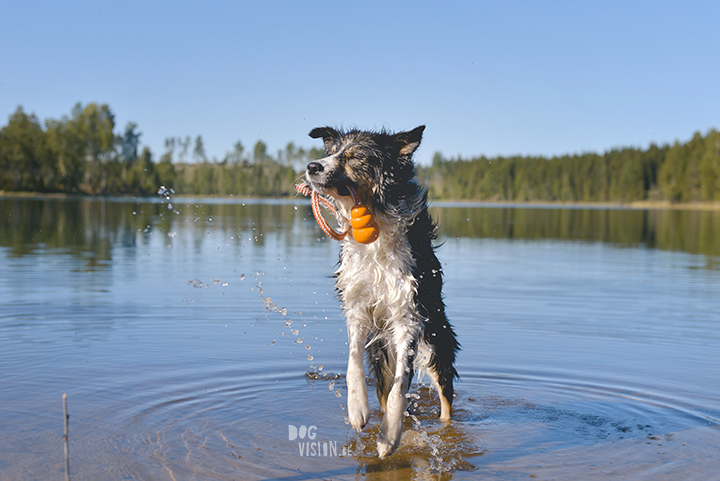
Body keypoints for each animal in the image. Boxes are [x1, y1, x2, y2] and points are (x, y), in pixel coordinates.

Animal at [306, 124, 462, 458]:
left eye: (355, 157)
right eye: (330, 153)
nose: (312, 167)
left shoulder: (407, 314)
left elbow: (400, 386)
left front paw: (390, 435)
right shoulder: (357, 305)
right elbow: (352, 360)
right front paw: (356, 409)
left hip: (437, 342)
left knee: (445, 400)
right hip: (380, 354)